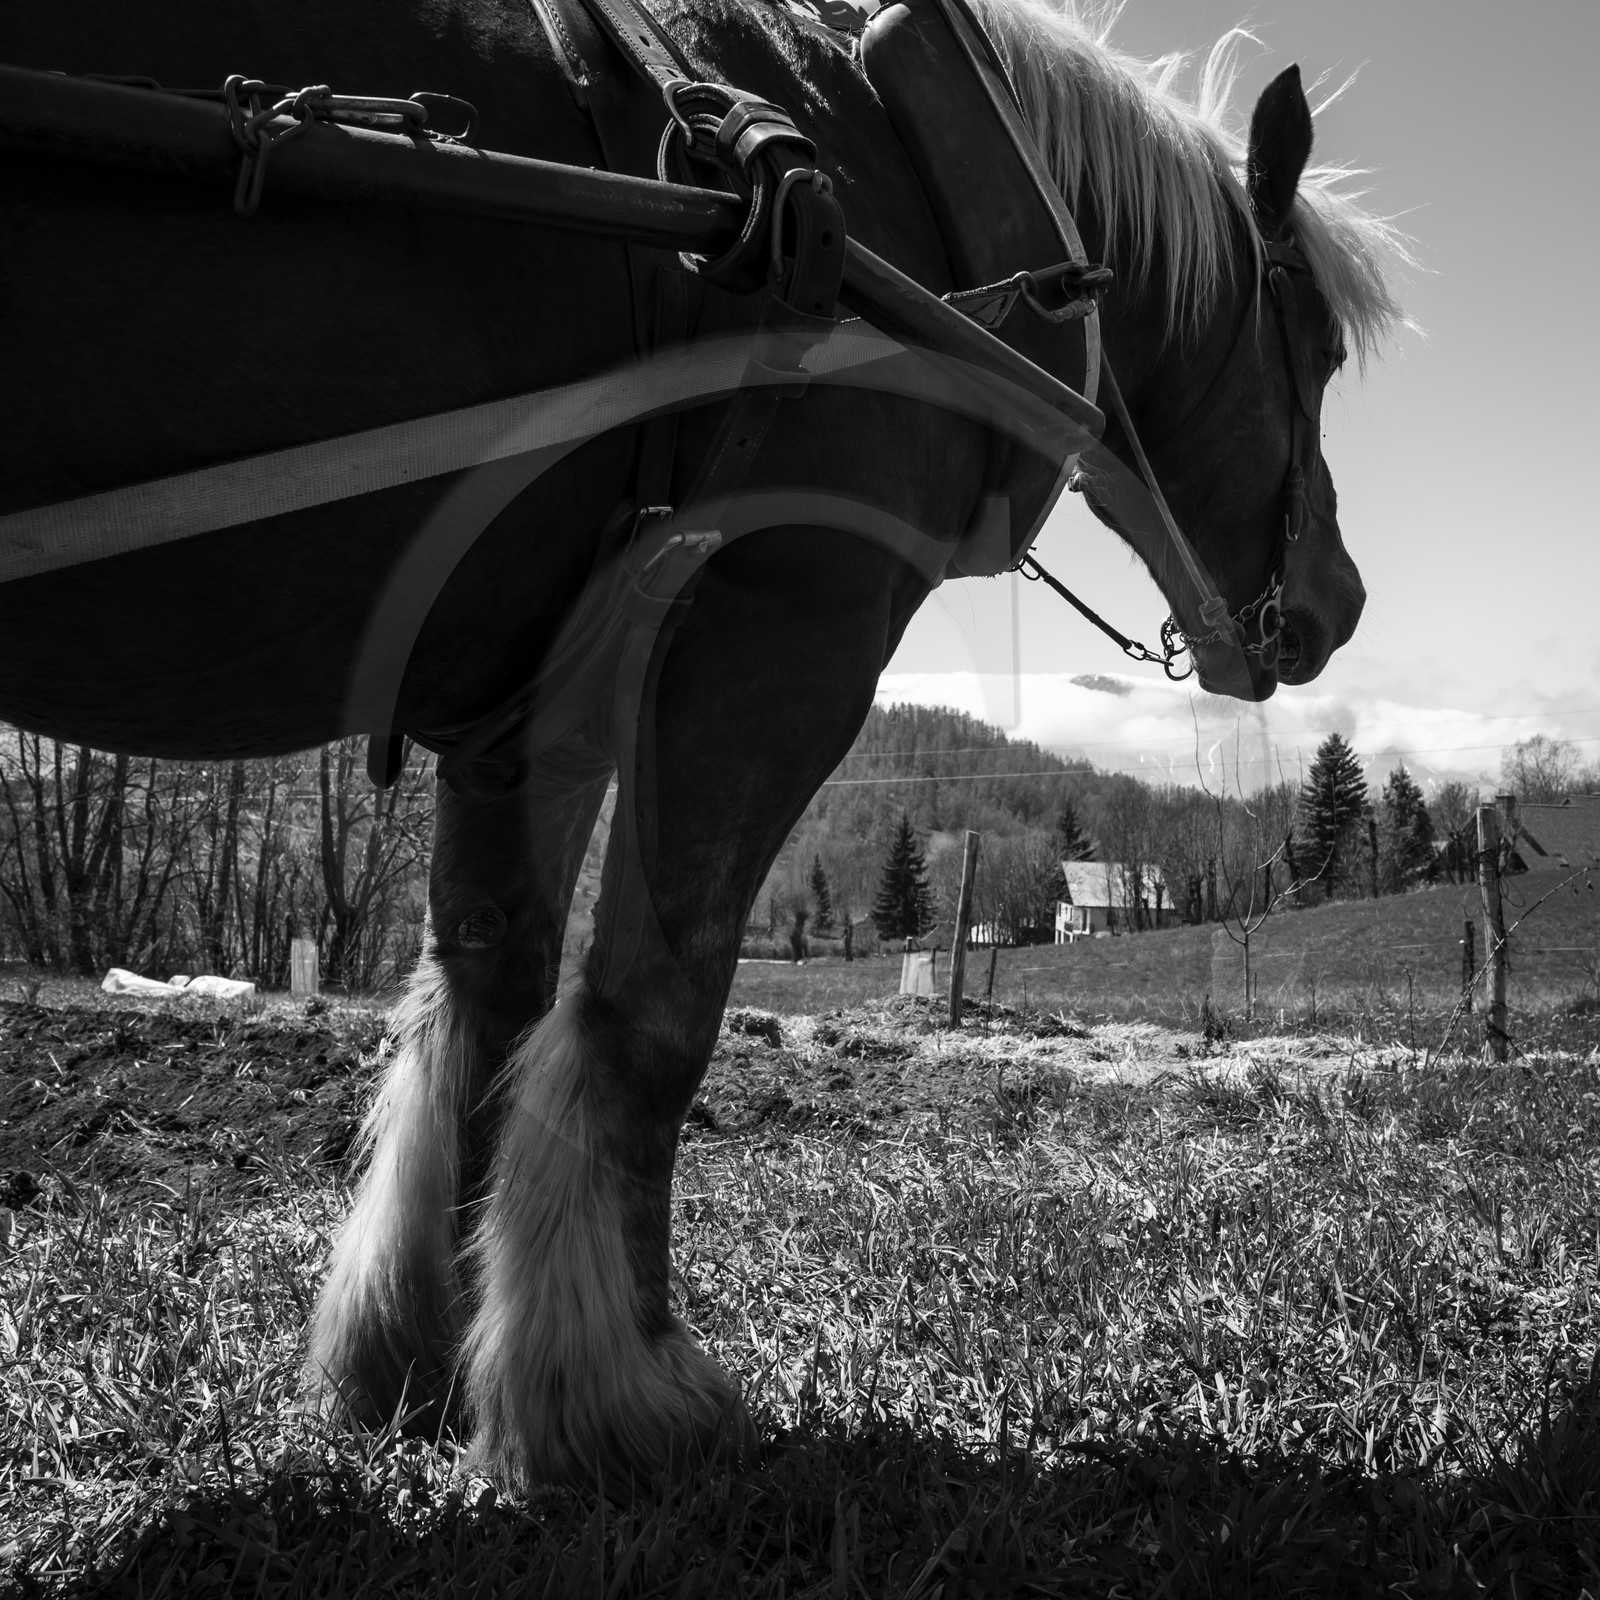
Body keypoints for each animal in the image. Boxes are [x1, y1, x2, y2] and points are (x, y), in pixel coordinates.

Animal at [0, 0, 1403, 1486]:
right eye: (1314, 347)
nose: (1341, 603)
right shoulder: (783, 620)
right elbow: (652, 1010)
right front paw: (612, 1396)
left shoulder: (540, 692)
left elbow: (486, 1000)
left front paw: (418, 1355)